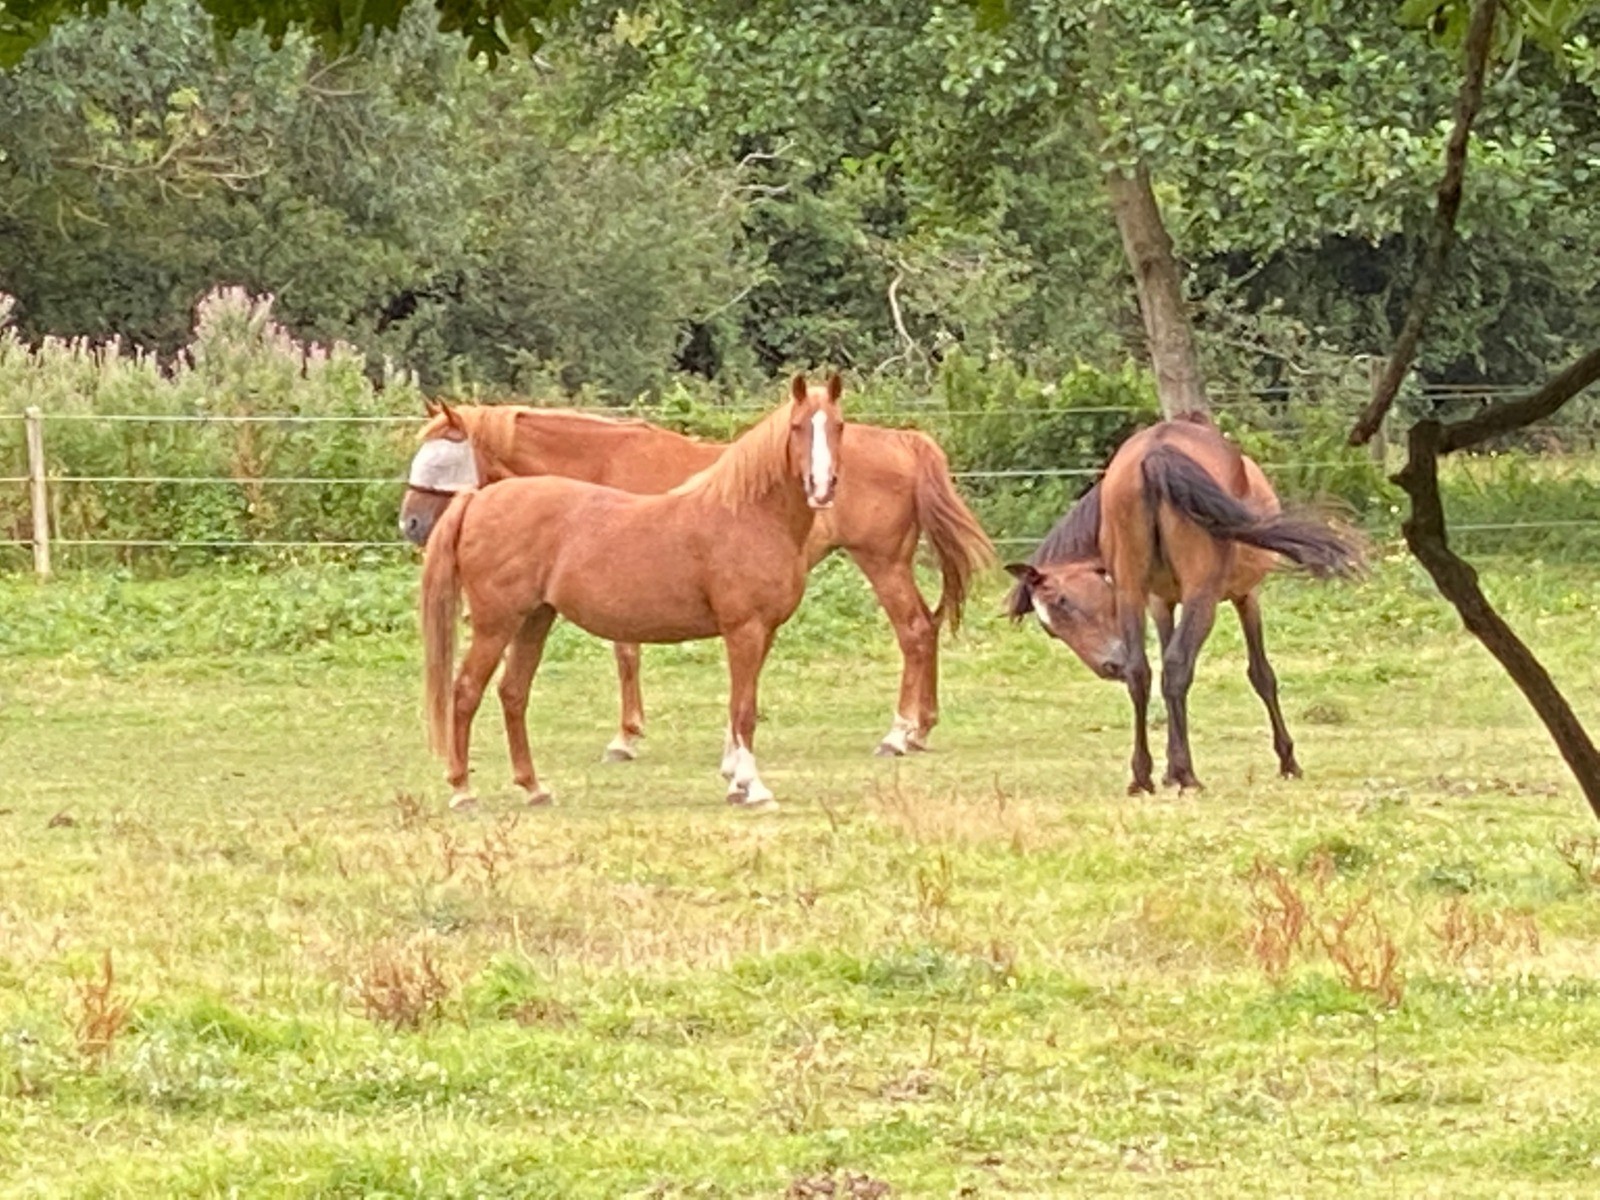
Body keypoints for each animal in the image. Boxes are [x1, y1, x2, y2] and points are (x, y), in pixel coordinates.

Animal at [400, 392, 993, 761]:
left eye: (440, 459)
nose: (409, 522)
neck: (599, 464)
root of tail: (903, 440)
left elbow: (627, 653)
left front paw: (626, 738)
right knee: (927, 627)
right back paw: (922, 727)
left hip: (881, 562)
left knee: (913, 631)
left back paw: (899, 732)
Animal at [418, 373, 845, 811]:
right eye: (797, 427)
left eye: (838, 425)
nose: (821, 487)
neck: (746, 513)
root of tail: (477, 499)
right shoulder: (744, 629)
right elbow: (743, 709)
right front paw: (752, 787)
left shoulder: (764, 631)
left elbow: (740, 705)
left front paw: (736, 782)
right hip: (496, 624)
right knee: (466, 691)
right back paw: (462, 791)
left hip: (534, 619)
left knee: (513, 692)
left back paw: (533, 786)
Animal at [1004, 415, 1363, 794]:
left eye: (1063, 603)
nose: (1108, 666)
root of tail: (1155, 453)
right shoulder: (1245, 596)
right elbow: (1261, 674)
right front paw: (1288, 761)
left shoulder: (1158, 601)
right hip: (1201, 597)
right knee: (1178, 667)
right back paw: (1186, 774)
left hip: (1130, 591)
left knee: (1141, 673)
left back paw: (1142, 776)